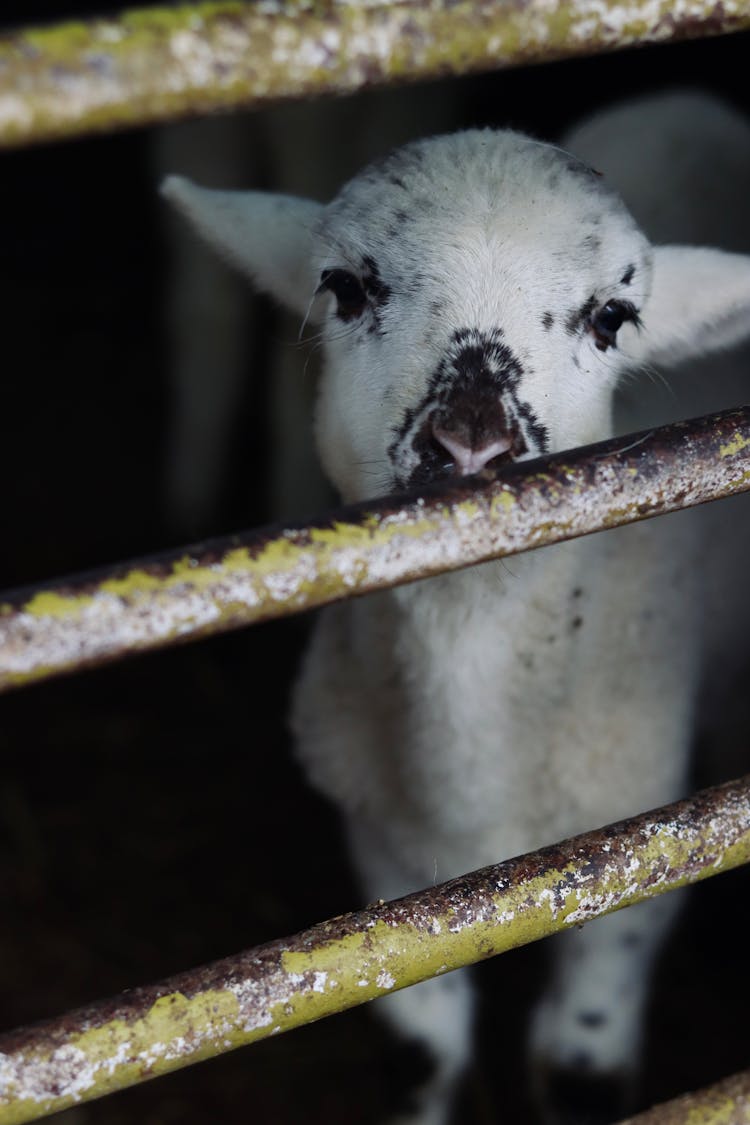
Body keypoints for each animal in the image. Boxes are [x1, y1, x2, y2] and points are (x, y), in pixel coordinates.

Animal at [163, 92, 750, 1120]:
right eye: (345, 287)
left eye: (613, 316)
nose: (474, 446)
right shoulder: (390, 865)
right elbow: (420, 1056)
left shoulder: (647, 857)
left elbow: (582, 1070)